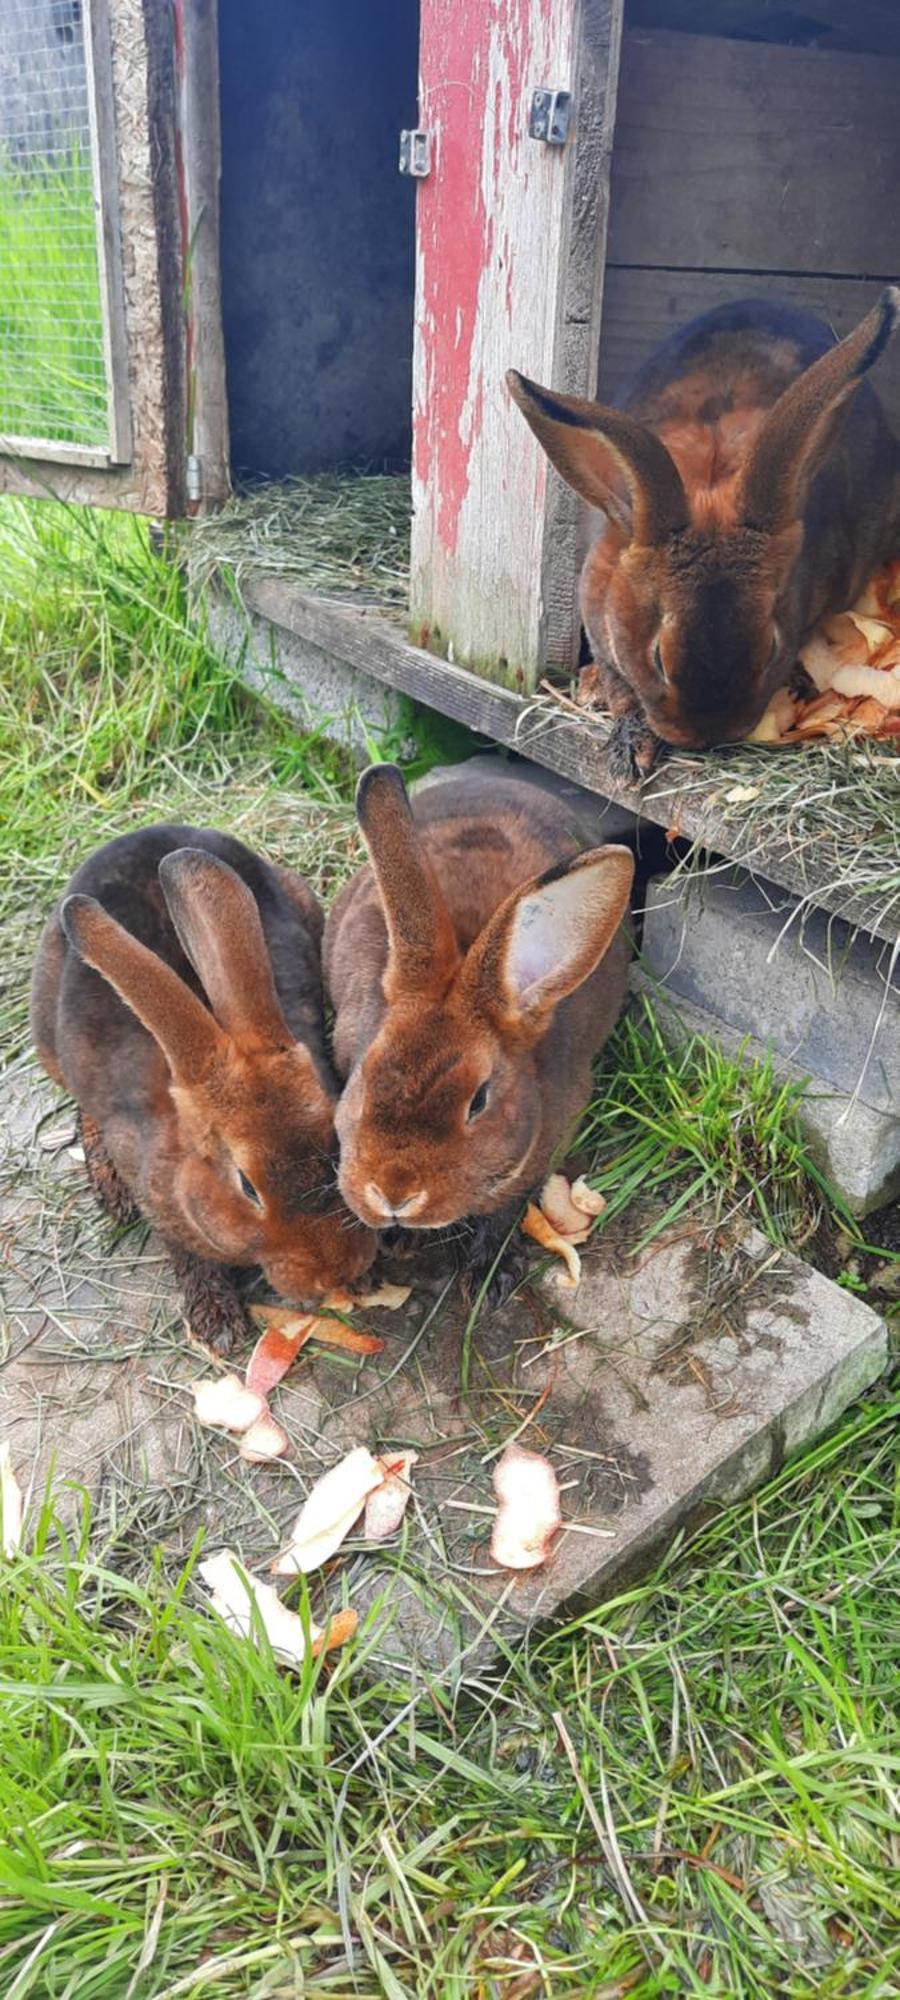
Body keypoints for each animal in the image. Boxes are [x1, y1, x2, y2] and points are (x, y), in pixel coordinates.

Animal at [324, 756, 632, 1304]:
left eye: (479, 1101)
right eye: (365, 1074)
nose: (394, 1193)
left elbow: (504, 1212)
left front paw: (488, 1279)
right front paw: (394, 1243)